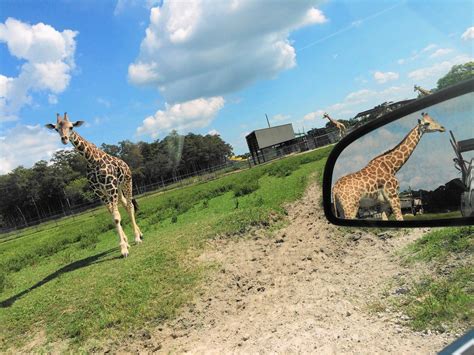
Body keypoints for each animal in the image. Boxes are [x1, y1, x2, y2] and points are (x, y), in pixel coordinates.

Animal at [45, 112, 143, 258]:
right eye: (57, 129)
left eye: (71, 127)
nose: (64, 139)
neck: (92, 160)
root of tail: (125, 164)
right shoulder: (99, 191)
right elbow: (113, 216)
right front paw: (125, 243)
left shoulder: (110, 187)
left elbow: (116, 217)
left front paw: (124, 249)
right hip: (118, 189)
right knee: (126, 204)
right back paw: (139, 234)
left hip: (126, 182)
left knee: (130, 205)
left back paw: (137, 238)